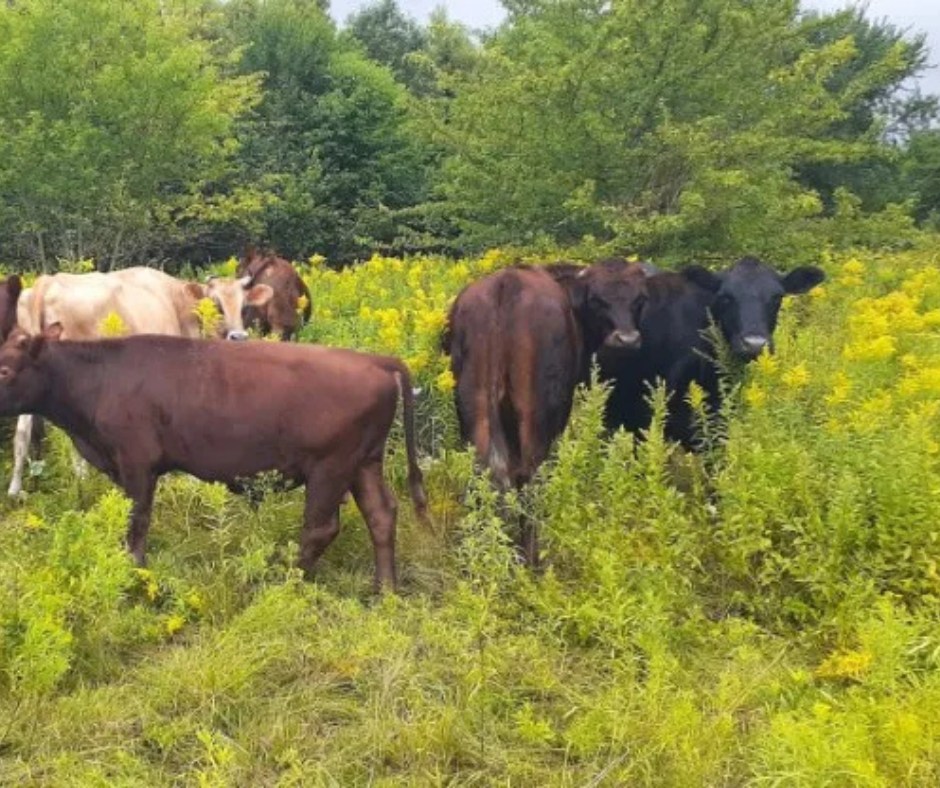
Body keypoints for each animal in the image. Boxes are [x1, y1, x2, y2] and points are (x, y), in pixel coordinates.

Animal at [0, 328, 428, 591]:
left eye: (4, 368)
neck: (100, 375)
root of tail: (375, 360)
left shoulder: (138, 466)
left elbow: (136, 526)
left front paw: (135, 574)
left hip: (330, 468)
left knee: (320, 528)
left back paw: (285, 582)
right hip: (363, 464)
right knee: (381, 515)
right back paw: (385, 590)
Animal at [442, 263, 648, 565]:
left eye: (638, 299)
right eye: (597, 299)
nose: (627, 339)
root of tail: (507, 283)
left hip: (474, 408)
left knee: (484, 474)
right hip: (537, 415)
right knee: (529, 477)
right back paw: (532, 558)